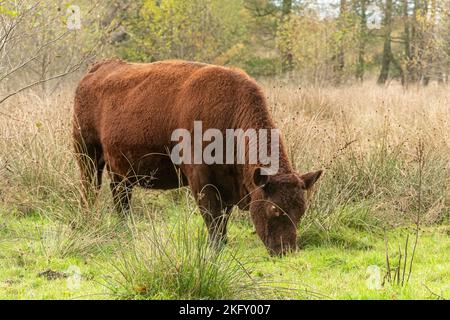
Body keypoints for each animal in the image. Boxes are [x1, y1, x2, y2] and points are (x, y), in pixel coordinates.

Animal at [72, 59, 322, 255]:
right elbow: (213, 218)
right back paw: (88, 220)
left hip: (119, 168)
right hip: (87, 154)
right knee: (90, 189)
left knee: (120, 195)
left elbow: (222, 218)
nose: (286, 250)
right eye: (274, 210)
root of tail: (96, 70)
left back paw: (125, 227)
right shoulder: (201, 181)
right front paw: (216, 248)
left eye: (301, 211)